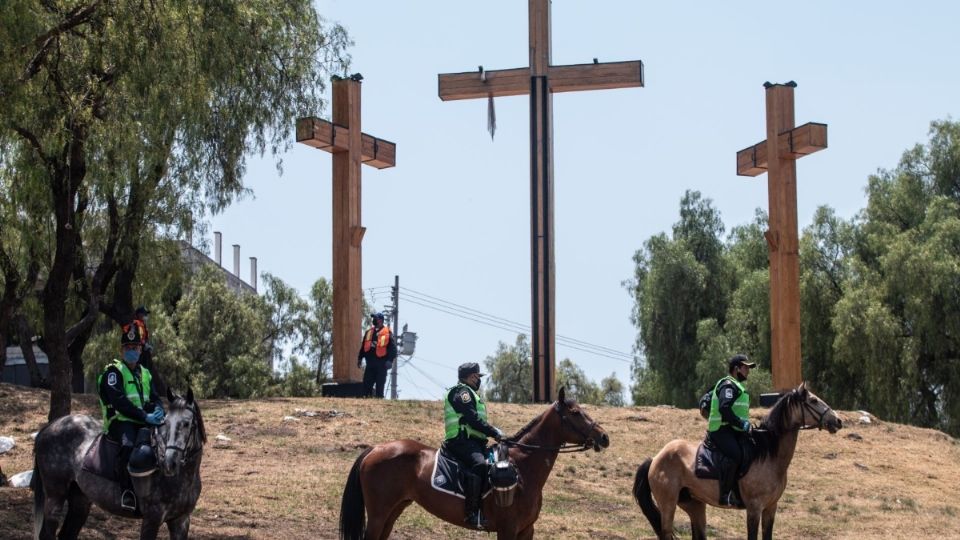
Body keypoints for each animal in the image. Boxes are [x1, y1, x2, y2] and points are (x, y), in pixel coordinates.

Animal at [33, 388, 204, 540]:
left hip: (80, 500)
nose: (169, 463)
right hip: (55, 496)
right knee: (47, 534)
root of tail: (51, 426)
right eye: (165, 423)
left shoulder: (181, 521)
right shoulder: (151, 520)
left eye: (187, 423)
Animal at [338, 388, 608, 540]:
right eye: (575, 413)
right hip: (378, 514)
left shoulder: (526, 530)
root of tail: (375, 448)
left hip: (393, 511)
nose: (604, 437)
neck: (523, 468)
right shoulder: (508, 530)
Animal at [636, 384, 840, 540]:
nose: (838, 421)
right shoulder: (754, 508)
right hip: (668, 505)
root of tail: (655, 458)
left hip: (694, 505)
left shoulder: (770, 508)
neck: (768, 455)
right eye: (813, 401)